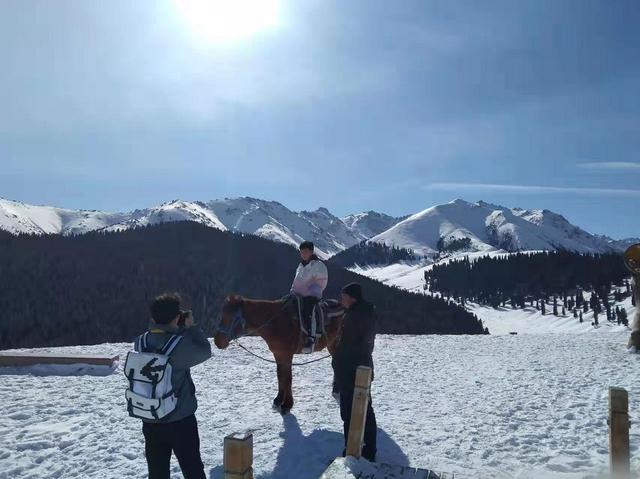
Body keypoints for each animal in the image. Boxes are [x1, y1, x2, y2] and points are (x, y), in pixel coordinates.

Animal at [214, 294, 344, 414]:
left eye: (231, 317)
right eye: (221, 315)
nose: (218, 341)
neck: (276, 322)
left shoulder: (287, 355)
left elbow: (287, 378)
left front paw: (287, 405)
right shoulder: (278, 354)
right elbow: (280, 376)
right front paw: (278, 400)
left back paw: (337, 389)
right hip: (331, 344)